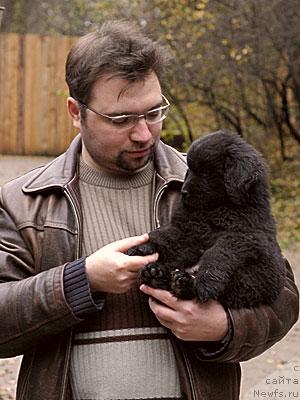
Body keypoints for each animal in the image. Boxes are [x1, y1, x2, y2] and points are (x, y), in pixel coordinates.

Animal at [127, 130, 286, 308]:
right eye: (189, 170)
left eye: (204, 173)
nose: (183, 192)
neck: (215, 210)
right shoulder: (187, 230)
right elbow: (165, 235)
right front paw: (143, 247)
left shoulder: (241, 237)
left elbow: (217, 253)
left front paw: (206, 281)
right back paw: (155, 274)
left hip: (251, 280)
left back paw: (182, 282)